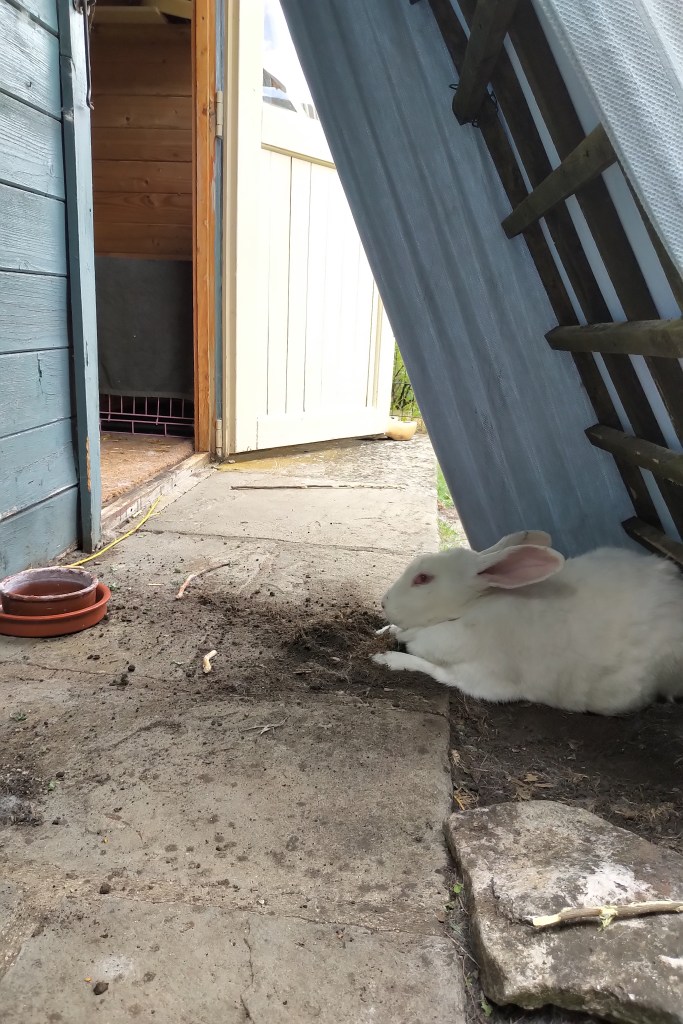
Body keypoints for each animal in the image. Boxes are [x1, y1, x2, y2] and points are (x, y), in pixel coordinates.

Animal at [372, 530, 683, 715]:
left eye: (423, 579)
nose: (384, 602)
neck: (472, 608)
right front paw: (384, 630)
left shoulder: (480, 679)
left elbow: (432, 670)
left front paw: (386, 658)